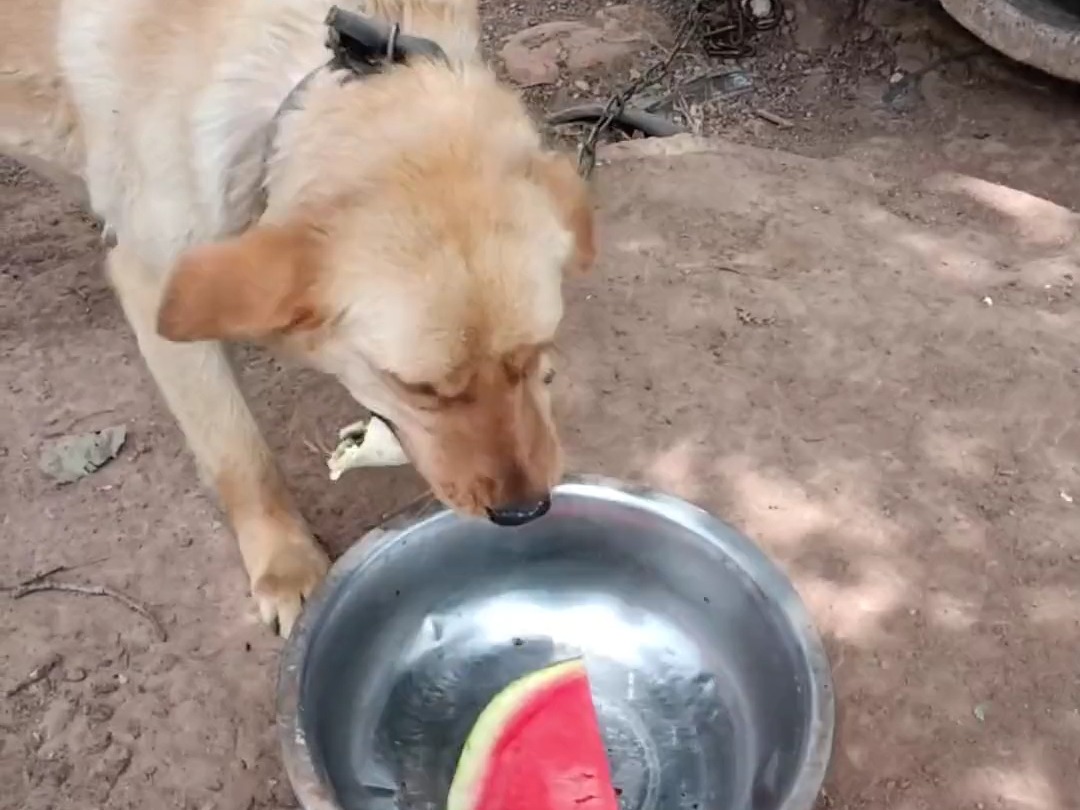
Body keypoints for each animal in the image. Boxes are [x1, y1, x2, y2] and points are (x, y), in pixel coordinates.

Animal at [0, 0, 596, 639]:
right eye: (416, 388)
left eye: (537, 355)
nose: (525, 511)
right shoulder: (155, 284)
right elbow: (239, 454)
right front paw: (284, 563)